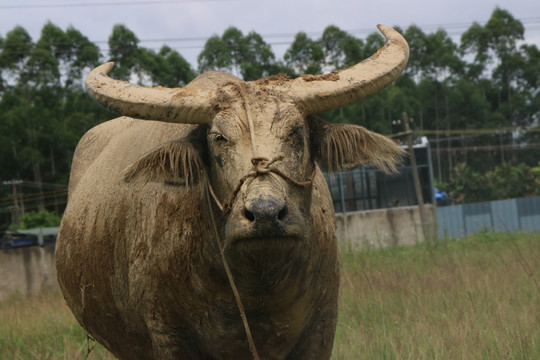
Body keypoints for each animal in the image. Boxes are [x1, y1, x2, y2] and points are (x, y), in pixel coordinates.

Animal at [56, 23, 410, 358]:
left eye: (296, 131)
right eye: (218, 138)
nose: (266, 214)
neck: (258, 285)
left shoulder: (321, 328)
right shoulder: (168, 336)